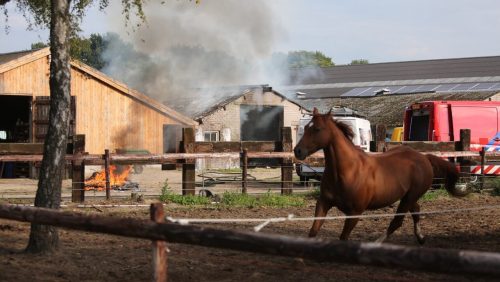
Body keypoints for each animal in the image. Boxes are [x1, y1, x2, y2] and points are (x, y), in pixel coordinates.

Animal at [292, 108, 460, 245]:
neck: (346, 171)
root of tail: (424, 157)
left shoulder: (355, 213)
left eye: (317, 129)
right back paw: (421, 238)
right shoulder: (323, 203)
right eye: (305, 128)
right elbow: (313, 231)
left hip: (410, 197)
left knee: (397, 221)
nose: (298, 151)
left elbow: (343, 238)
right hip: (408, 197)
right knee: (416, 211)